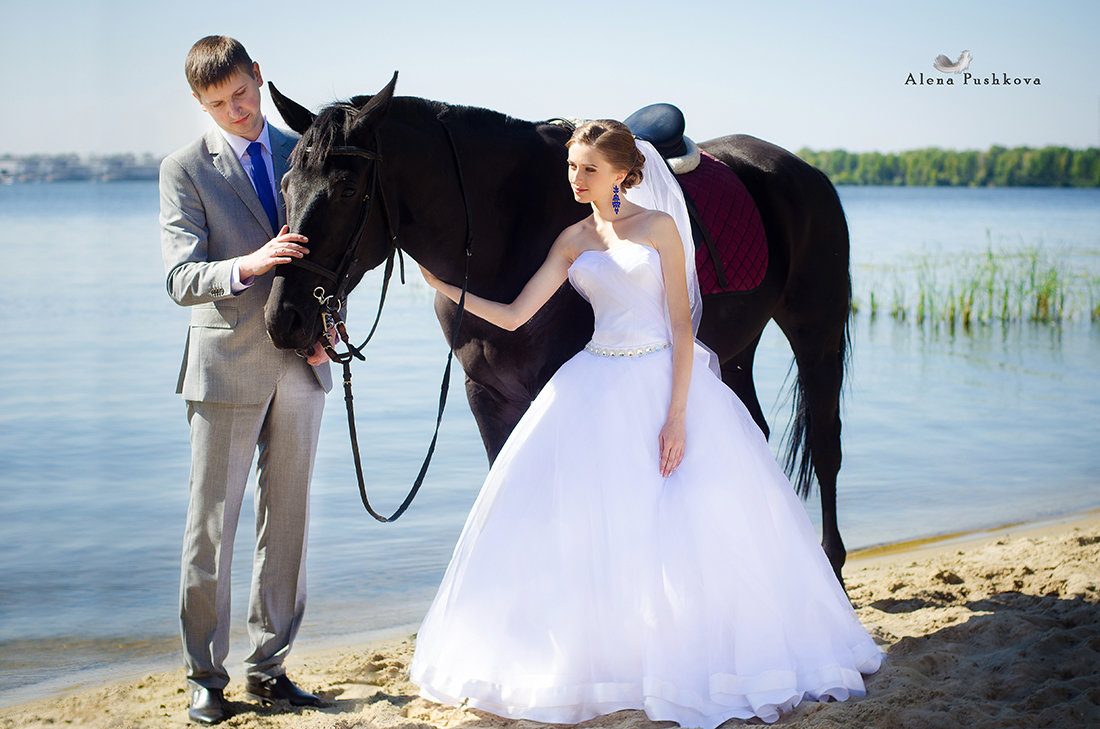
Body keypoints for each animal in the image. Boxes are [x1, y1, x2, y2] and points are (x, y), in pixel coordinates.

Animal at [270, 75, 853, 580]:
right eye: (285, 183)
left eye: (347, 189)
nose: (284, 320)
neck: (506, 233)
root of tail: (805, 172)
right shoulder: (486, 391)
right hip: (736, 350)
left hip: (816, 331)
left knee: (826, 445)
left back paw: (830, 564)